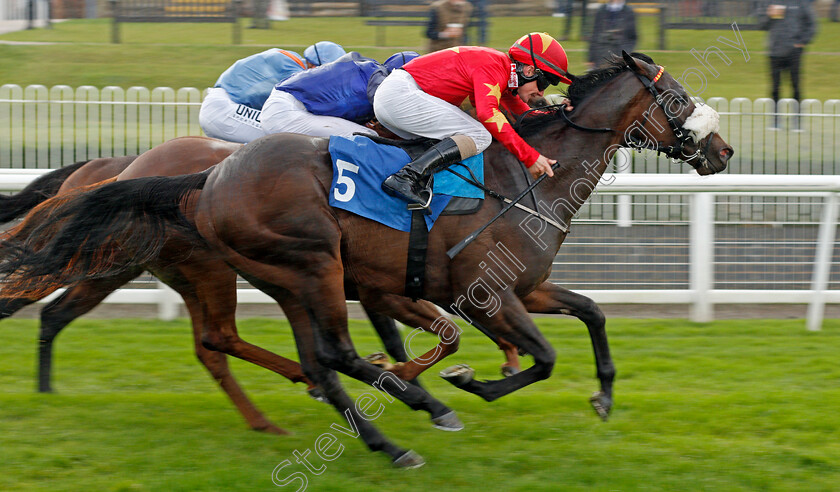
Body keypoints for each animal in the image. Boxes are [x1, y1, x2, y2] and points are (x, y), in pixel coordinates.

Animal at [0, 52, 732, 466]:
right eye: (677, 98)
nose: (721, 151)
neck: (525, 178)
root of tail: (206, 179)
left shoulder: (526, 288)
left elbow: (594, 314)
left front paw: (603, 395)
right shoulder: (484, 293)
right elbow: (538, 355)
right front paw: (468, 383)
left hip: (282, 279)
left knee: (292, 357)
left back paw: (378, 430)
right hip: (302, 265)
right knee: (313, 353)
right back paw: (406, 414)